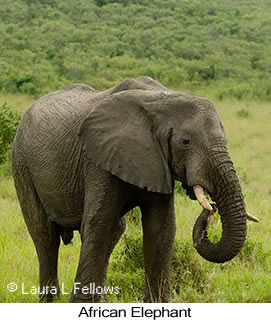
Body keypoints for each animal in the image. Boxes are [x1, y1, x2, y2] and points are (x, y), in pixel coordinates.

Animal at [11, 76, 258, 304]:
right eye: (186, 141)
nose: (211, 207)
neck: (161, 99)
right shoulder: (99, 158)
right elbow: (99, 224)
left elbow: (161, 228)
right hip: (21, 163)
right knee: (44, 234)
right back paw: (49, 300)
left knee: (115, 230)